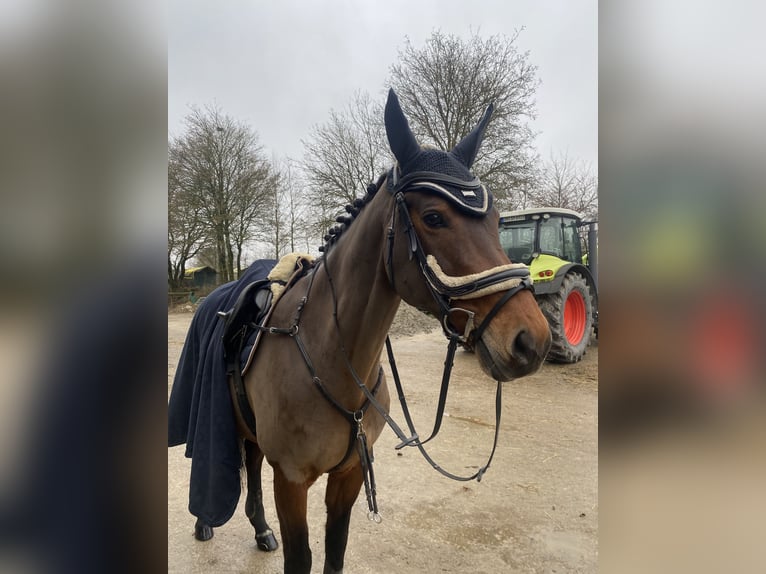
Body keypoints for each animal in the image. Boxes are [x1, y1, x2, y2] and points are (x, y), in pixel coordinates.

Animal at [178, 88, 556, 572]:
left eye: (495, 220)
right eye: (434, 218)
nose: (532, 340)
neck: (331, 360)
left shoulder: (350, 474)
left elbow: (334, 552)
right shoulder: (292, 480)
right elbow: (302, 557)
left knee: (252, 460)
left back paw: (261, 530)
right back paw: (204, 522)